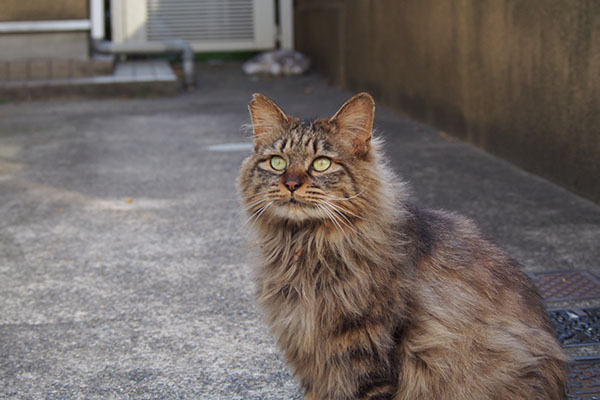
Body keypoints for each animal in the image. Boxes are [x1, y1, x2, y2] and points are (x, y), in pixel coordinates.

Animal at [238, 93, 568, 400]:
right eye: (277, 162)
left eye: (321, 164)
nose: (291, 184)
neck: (306, 246)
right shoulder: (310, 356)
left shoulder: (368, 349)